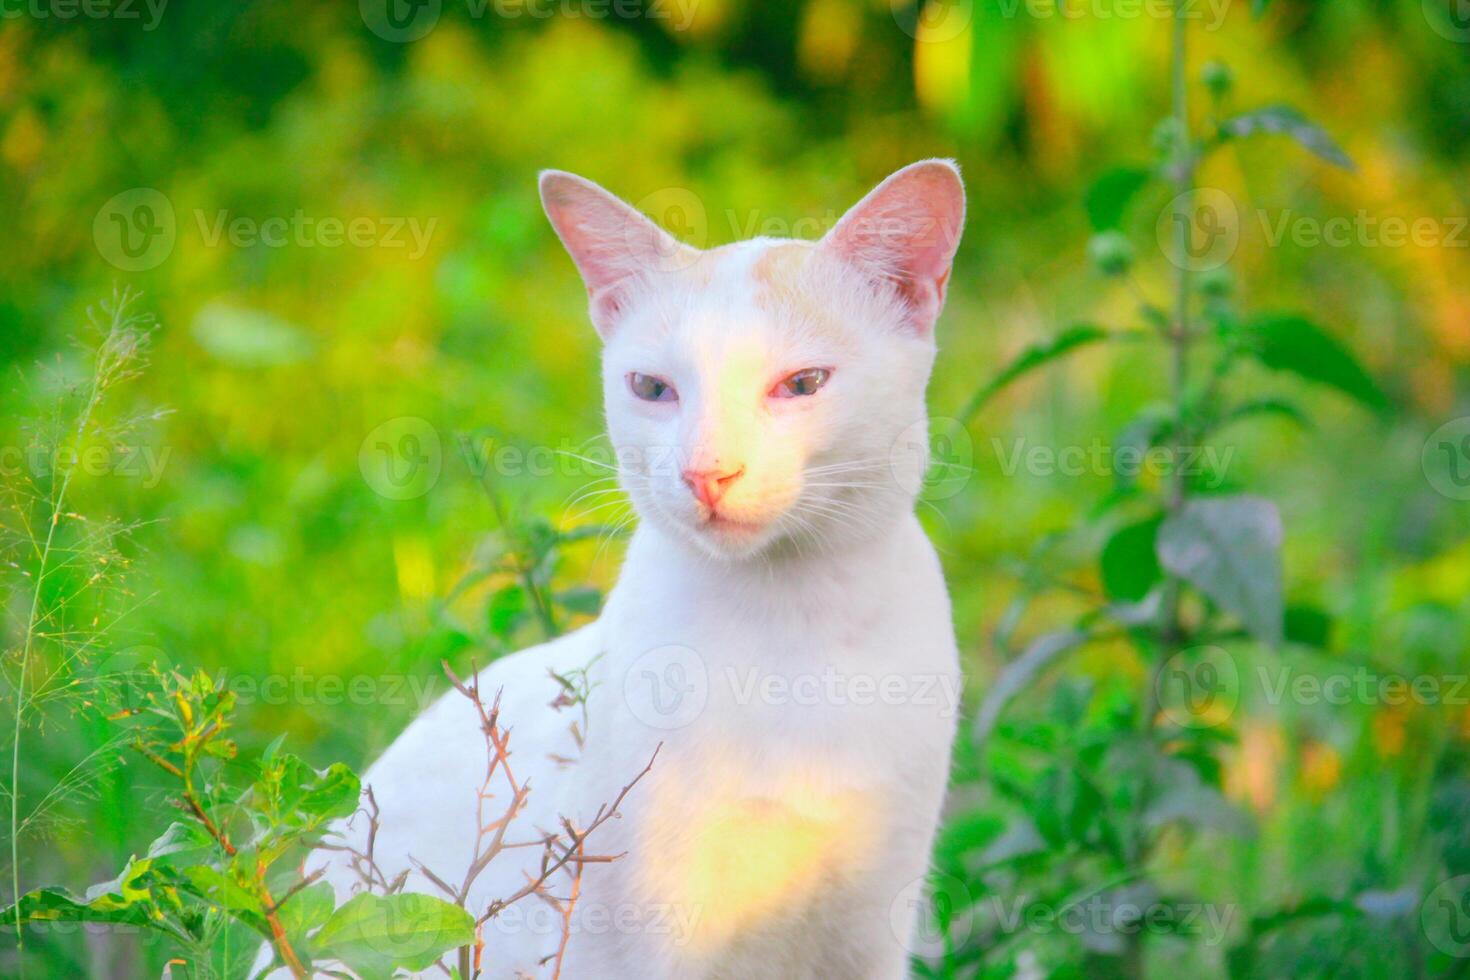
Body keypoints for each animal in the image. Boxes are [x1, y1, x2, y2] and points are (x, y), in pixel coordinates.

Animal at [277, 163, 964, 980]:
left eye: (802, 385)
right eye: (652, 390)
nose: (707, 472)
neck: (790, 630)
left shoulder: (870, 927)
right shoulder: (642, 933)